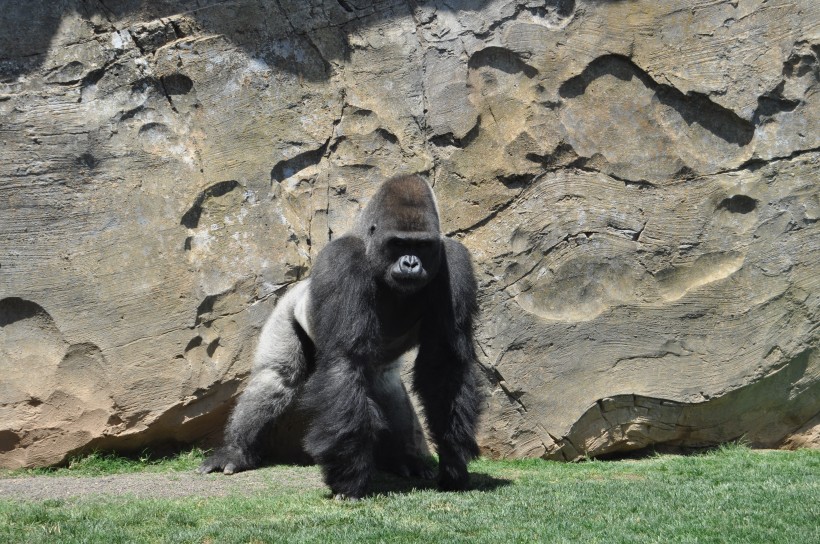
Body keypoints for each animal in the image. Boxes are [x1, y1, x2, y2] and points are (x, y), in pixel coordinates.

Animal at [198, 175, 480, 502]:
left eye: (421, 246)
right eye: (398, 244)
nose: (411, 263)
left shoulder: (457, 264)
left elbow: (444, 365)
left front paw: (453, 459)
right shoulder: (342, 260)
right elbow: (344, 359)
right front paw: (349, 477)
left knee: (388, 389)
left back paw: (403, 459)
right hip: (287, 305)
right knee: (277, 377)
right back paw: (236, 450)